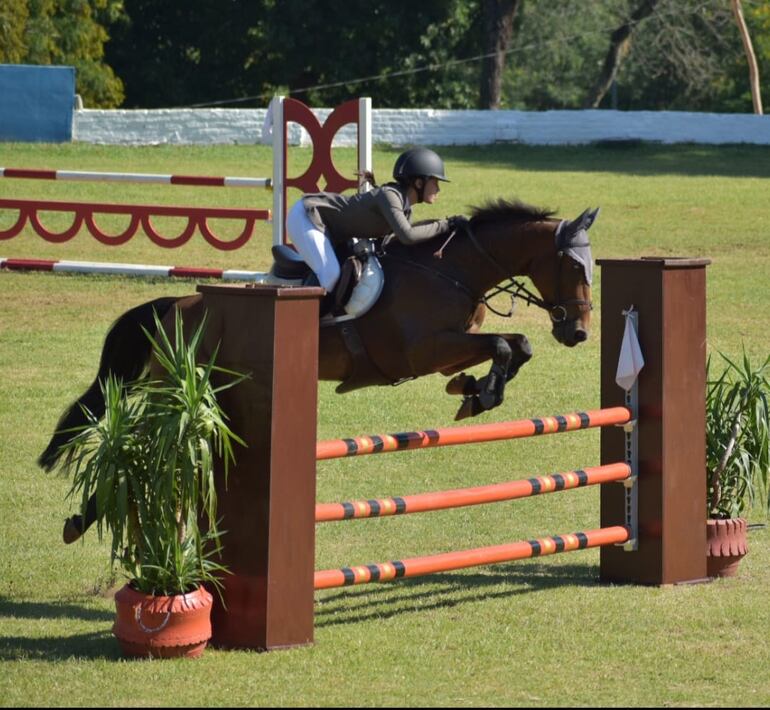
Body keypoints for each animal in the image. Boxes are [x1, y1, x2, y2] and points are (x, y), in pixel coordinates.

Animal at [39, 200, 596, 544]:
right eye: (573, 265)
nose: (578, 333)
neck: (450, 268)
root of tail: (175, 306)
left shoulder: (448, 348)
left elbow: (515, 345)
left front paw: (471, 390)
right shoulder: (422, 350)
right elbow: (504, 342)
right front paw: (480, 395)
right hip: (180, 392)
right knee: (143, 445)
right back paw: (83, 518)